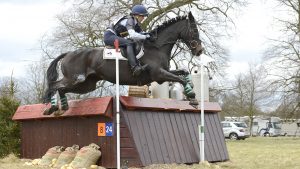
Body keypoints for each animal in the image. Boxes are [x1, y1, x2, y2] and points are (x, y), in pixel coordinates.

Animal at [43, 11, 204, 115]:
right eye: (194, 30)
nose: (199, 50)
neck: (157, 47)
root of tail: (68, 53)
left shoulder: (163, 73)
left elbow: (183, 72)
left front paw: (191, 91)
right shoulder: (158, 74)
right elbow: (179, 78)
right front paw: (192, 96)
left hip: (87, 85)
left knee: (61, 88)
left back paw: (62, 107)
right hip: (76, 78)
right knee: (55, 85)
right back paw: (50, 107)